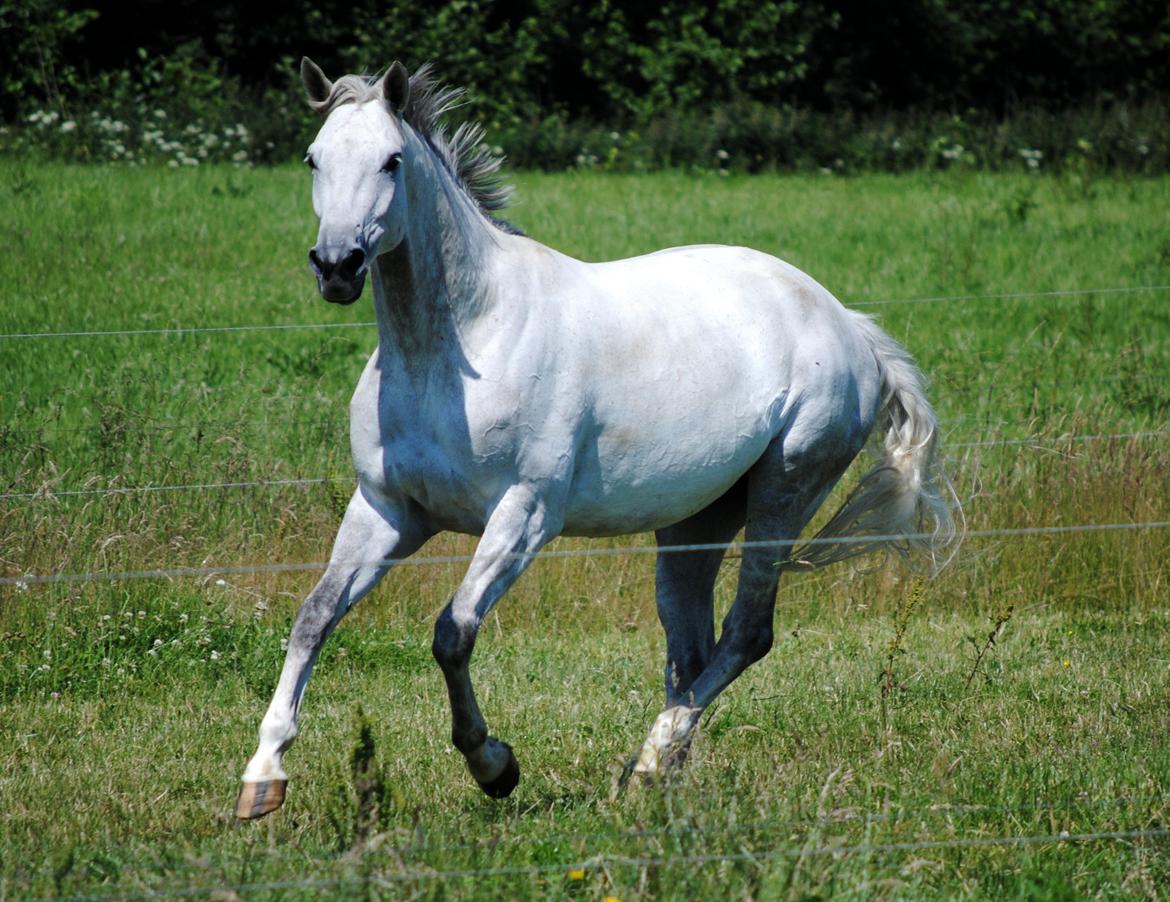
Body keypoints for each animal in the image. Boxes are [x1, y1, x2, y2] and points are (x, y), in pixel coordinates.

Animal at [235, 58, 950, 818]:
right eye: (314, 157)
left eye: (392, 160)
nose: (336, 265)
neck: (461, 345)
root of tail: (851, 325)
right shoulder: (387, 509)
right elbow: (314, 616)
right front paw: (263, 776)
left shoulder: (526, 513)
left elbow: (452, 632)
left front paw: (495, 766)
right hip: (694, 525)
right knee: (692, 650)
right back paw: (662, 771)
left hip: (785, 491)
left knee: (747, 635)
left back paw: (649, 763)